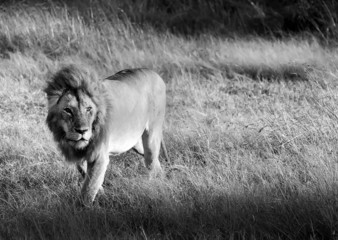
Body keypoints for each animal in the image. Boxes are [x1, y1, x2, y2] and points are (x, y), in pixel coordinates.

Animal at [44, 64, 168, 203]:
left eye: (89, 109)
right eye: (68, 110)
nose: (82, 131)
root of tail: (155, 74)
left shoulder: (99, 155)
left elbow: (88, 189)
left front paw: (83, 205)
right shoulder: (81, 155)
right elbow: (88, 176)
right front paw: (102, 194)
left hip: (151, 137)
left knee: (151, 162)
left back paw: (154, 188)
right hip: (136, 144)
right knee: (156, 163)